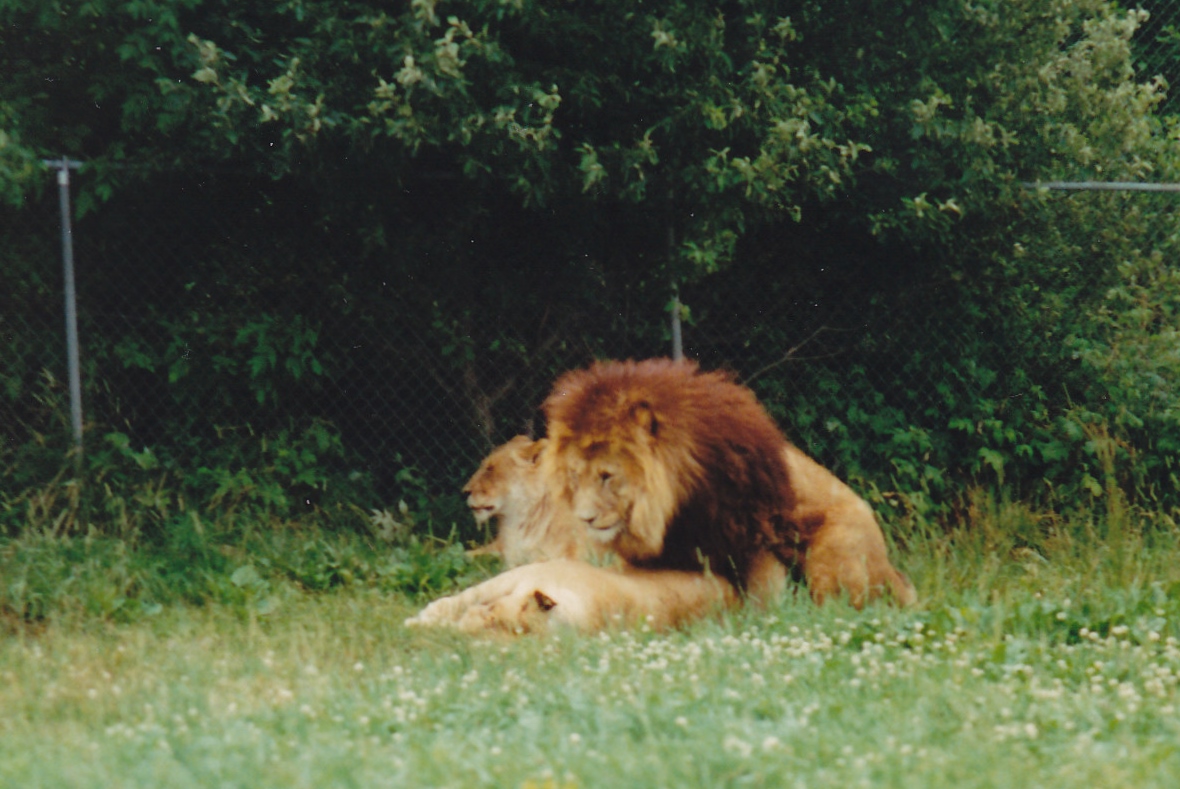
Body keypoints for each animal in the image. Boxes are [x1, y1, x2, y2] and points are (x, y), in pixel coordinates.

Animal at [544, 358, 915, 608]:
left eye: (607, 476)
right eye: (575, 476)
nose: (585, 518)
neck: (677, 500)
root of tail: (894, 573)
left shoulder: (757, 532)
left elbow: (765, 592)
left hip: (836, 551)